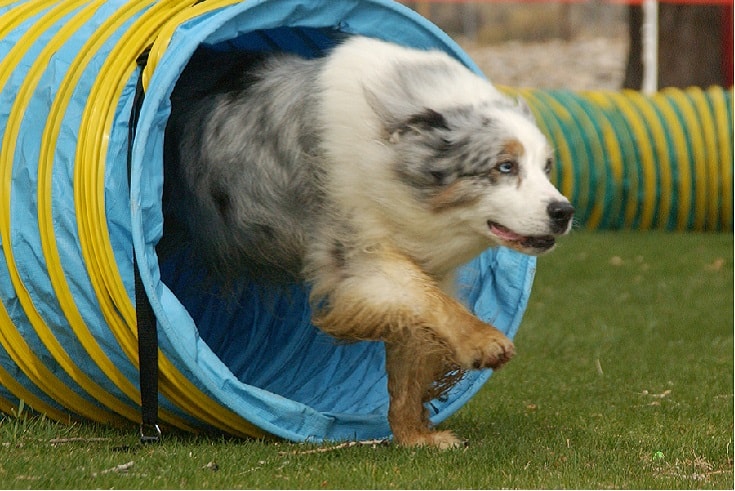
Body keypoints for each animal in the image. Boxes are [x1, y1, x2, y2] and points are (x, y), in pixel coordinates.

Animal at [164, 35, 576, 450]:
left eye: (546, 168)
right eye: (504, 166)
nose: (564, 211)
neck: (396, 158)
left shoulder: (423, 260)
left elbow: (416, 340)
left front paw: (414, 437)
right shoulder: (356, 253)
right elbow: (428, 297)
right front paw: (483, 342)